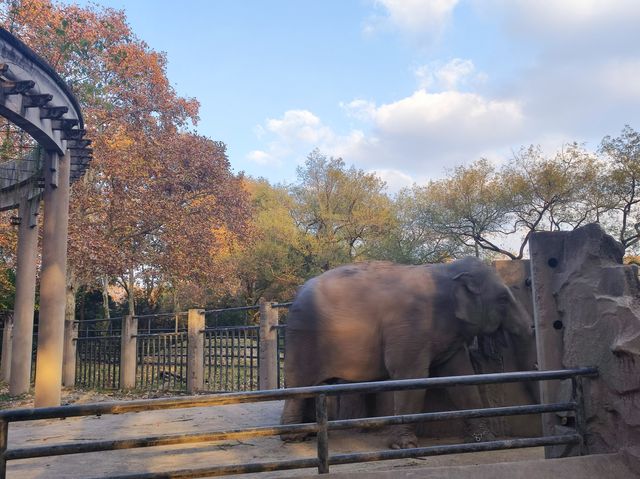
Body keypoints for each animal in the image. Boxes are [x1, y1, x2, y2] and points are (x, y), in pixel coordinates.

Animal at [280, 258, 536, 450]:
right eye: (503, 299)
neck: (446, 271)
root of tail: (297, 294)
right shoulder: (410, 325)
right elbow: (411, 376)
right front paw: (405, 446)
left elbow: (461, 377)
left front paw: (483, 439)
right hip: (302, 338)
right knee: (300, 384)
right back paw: (293, 437)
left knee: (317, 387)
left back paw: (312, 433)